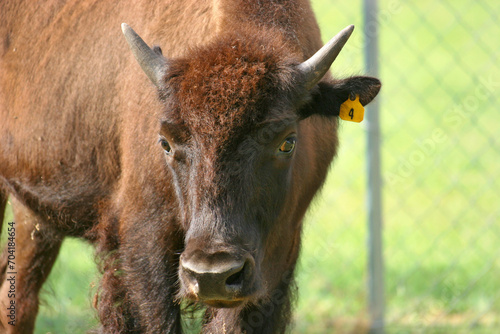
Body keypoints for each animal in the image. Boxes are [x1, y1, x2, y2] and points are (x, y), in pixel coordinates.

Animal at [0, 0, 378, 332]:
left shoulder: (277, 257)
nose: (212, 275)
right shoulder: (141, 243)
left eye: (287, 141)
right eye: (165, 143)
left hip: (33, 215)